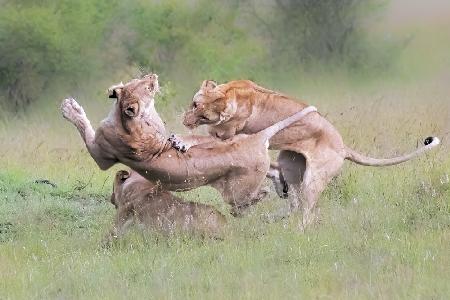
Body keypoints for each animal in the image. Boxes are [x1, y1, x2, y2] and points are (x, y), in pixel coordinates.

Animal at [60, 74, 316, 216]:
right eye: (144, 84)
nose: (153, 76)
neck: (123, 119)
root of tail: (258, 136)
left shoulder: (101, 156)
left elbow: (85, 128)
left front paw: (70, 108)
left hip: (237, 192)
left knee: (252, 197)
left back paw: (256, 203)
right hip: (252, 161)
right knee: (275, 170)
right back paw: (282, 189)